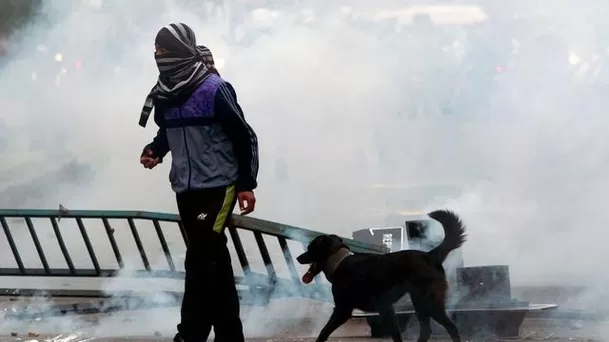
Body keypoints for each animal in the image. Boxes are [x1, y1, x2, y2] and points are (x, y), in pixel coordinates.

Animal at [296, 208, 464, 342]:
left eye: (310, 248)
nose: (298, 258)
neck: (339, 260)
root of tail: (429, 255)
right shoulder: (386, 308)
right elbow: (396, 334)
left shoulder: (343, 310)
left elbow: (324, 332)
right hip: (419, 302)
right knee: (426, 330)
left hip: (428, 301)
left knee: (451, 326)